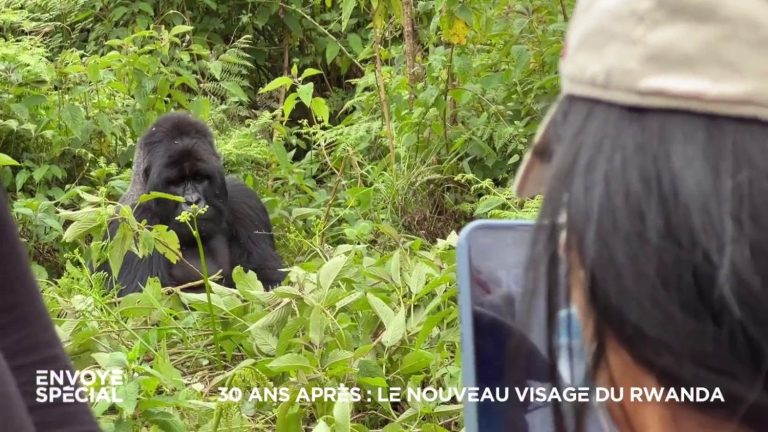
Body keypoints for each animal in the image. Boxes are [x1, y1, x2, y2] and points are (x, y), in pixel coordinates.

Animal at [100, 113, 284, 296]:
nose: (193, 201)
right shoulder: (132, 222)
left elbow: (271, 280)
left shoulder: (245, 202)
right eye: (176, 182)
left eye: (199, 178)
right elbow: (142, 297)